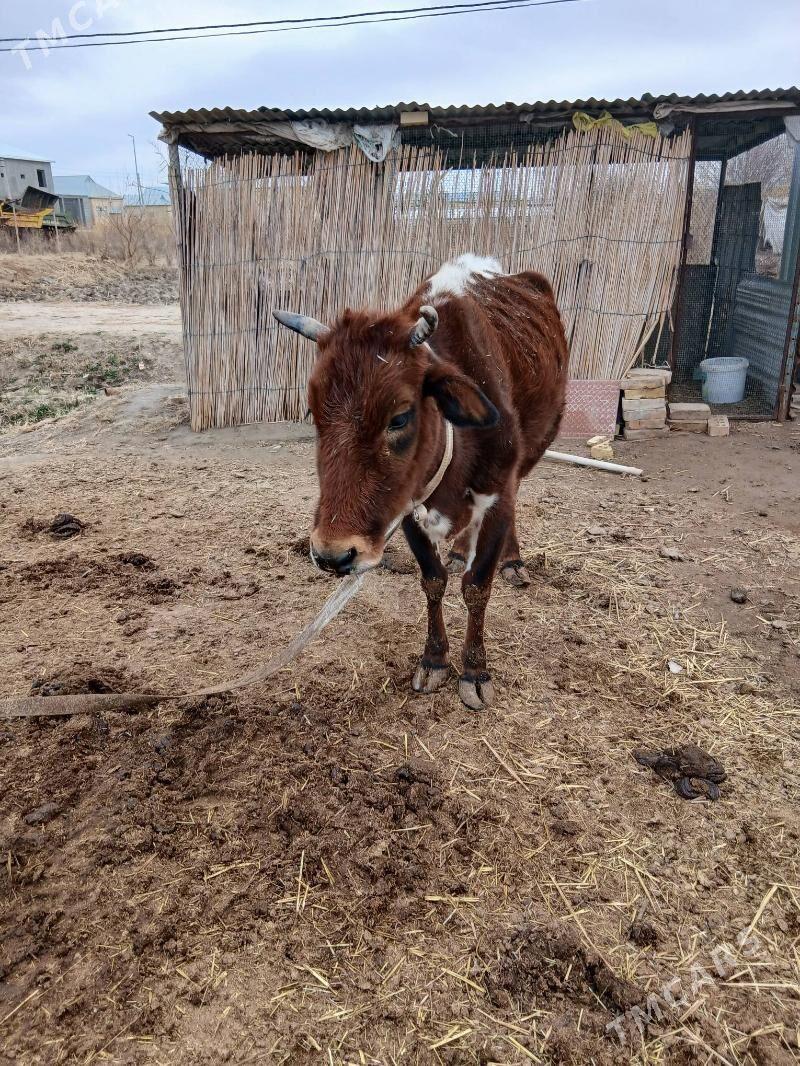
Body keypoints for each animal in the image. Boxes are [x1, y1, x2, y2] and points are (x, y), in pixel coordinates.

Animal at [274, 254, 568, 709]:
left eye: (399, 418)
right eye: (313, 413)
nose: (333, 555)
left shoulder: (499, 495)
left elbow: (477, 586)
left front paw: (475, 670)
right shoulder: (407, 509)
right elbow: (433, 580)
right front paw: (434, 659)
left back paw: (513, 561)